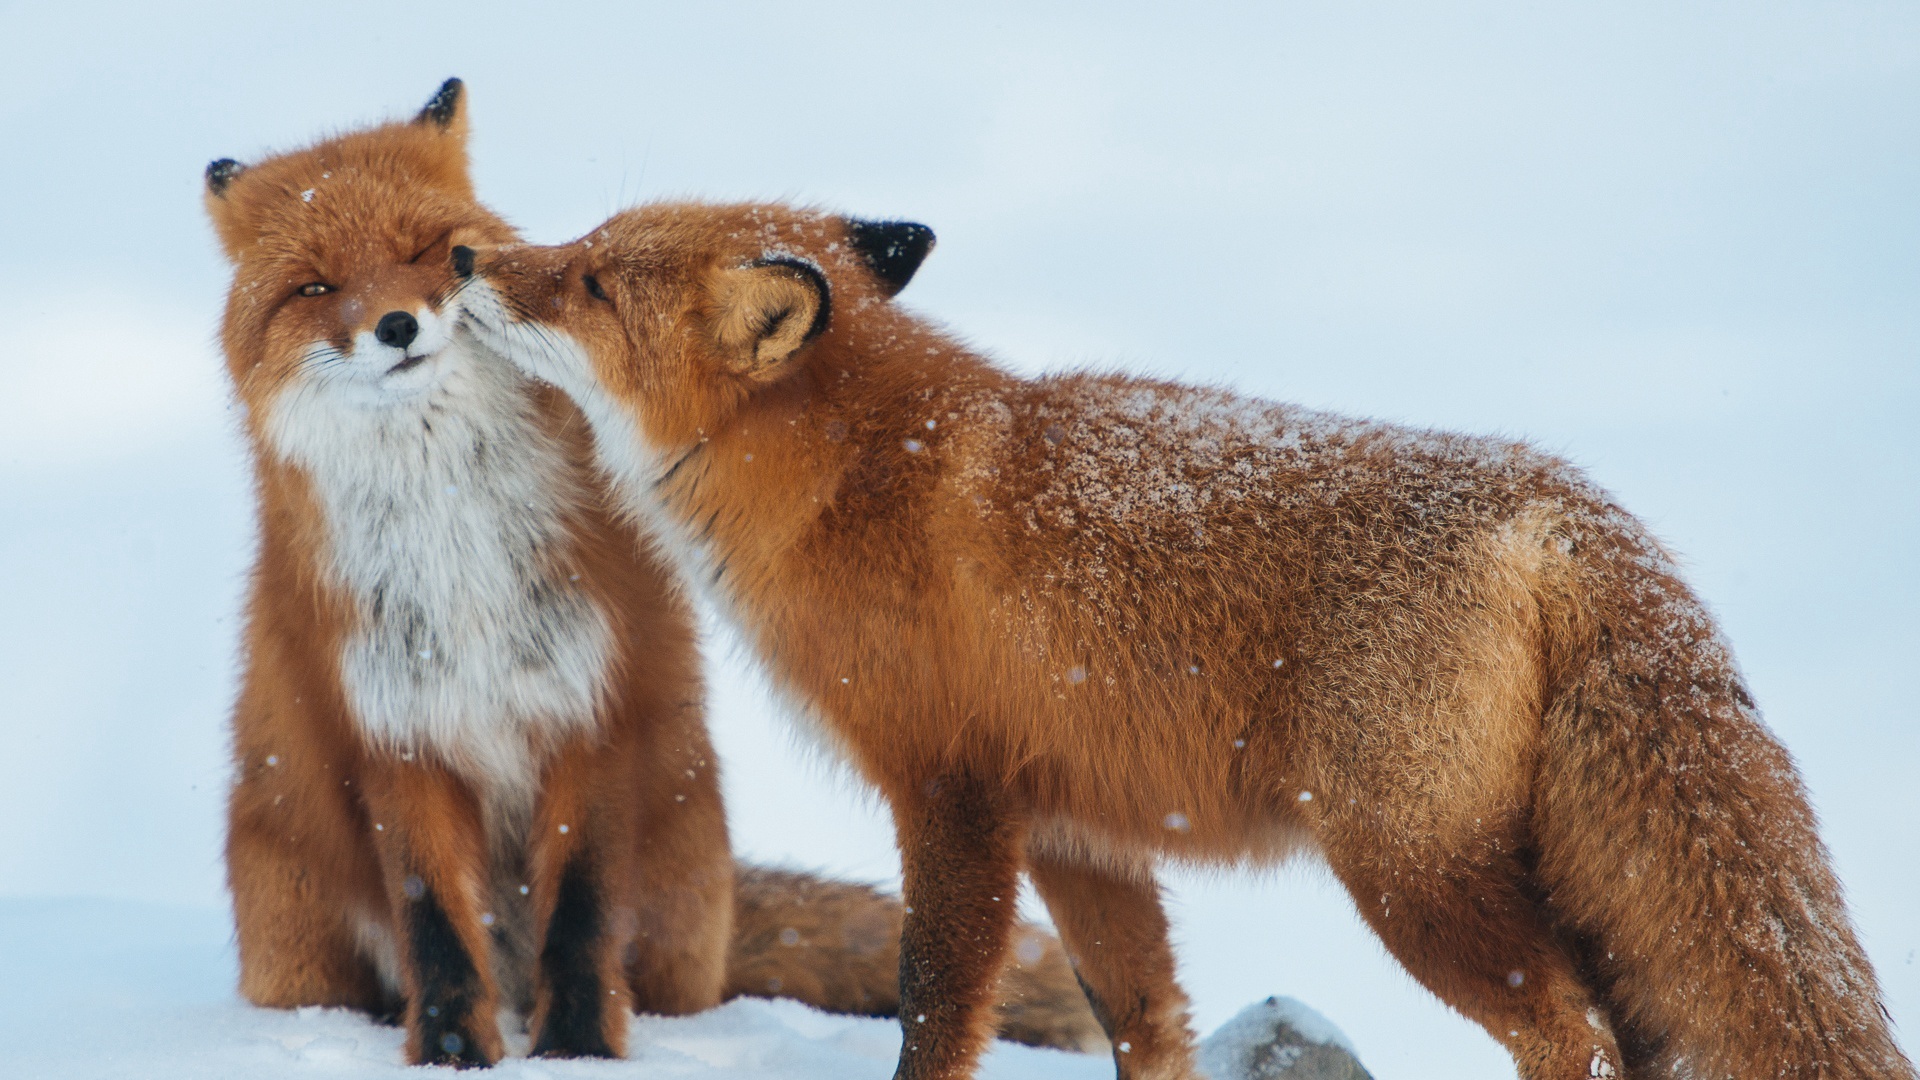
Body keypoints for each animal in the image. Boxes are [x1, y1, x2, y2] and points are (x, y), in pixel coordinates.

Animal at [202, 79, 1105, 1060]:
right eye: (315, 287)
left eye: (423, 251)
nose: (398, 325)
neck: (457, 545)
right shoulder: (396, 733)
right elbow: (436, 927)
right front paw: (455, 1059)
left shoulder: (597, 701)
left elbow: (581, 912)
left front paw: (578, 1053)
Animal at [456, 201, 1912, 1076]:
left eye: (587, 278)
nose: (468, 261)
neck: (859, 479)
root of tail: (1561, 501)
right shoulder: (1079, 832)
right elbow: (1145, 1020)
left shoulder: (952, 796)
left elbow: (935, 1006)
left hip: (1414, 881)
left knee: (1573, 1034)